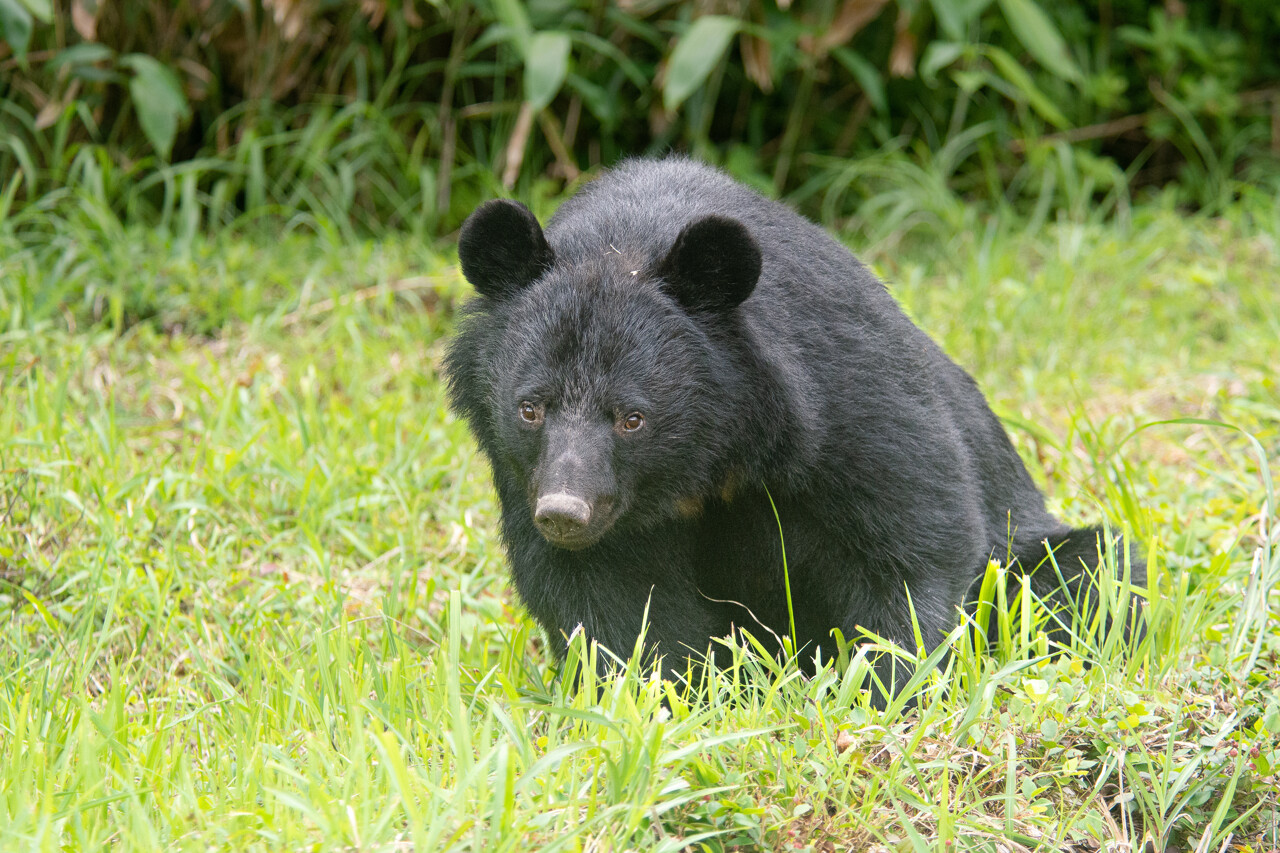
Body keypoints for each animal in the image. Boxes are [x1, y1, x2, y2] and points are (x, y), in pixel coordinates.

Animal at [444, 157, 1145, 700]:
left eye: (632, 418)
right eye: (530, 408)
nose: (565, 513)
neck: (711, 459)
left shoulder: (841, 397)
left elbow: (909, 539)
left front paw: (887, 688)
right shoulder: (533, 478)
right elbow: (609, 596)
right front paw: (665, 695)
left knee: (1091, 575)